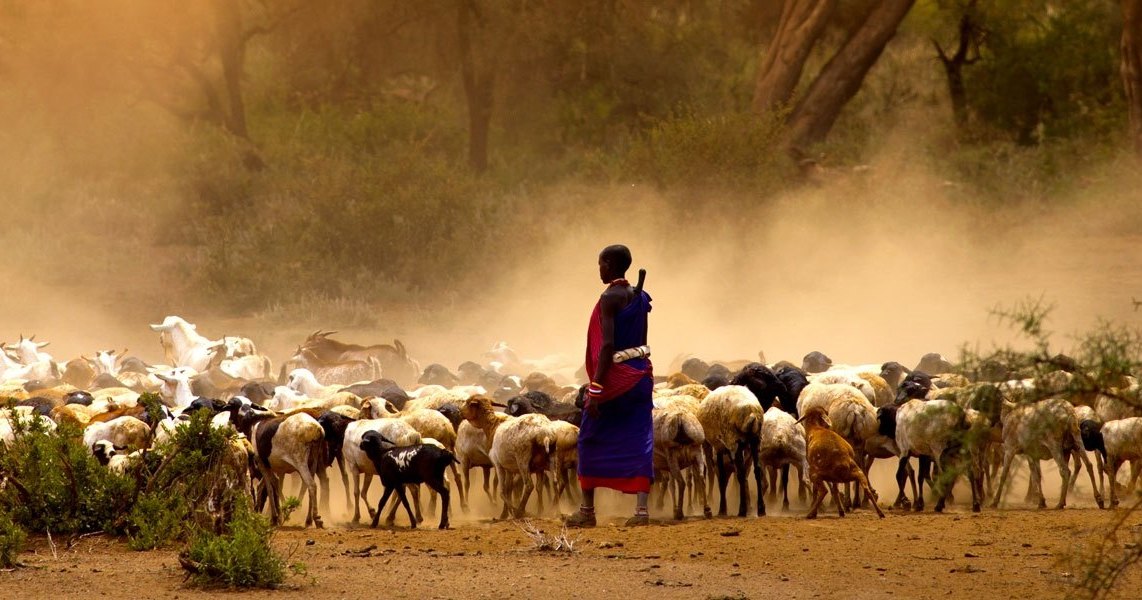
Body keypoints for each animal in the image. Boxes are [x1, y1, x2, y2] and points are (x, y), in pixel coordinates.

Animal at [694, 386, 767, 516]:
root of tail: (752, 413)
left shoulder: (719, 446)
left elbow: (722, 478)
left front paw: (723, 509)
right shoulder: (722, 446)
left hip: (734, 440)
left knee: (741, 473)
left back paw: (742, 510)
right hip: (755, 440)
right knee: (757, 470)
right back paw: (761, 508)